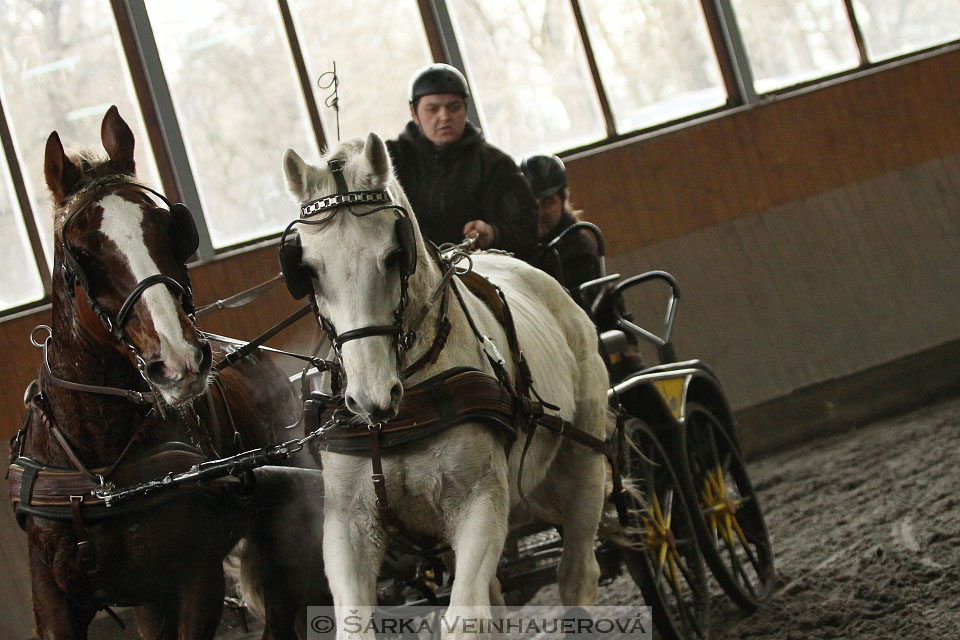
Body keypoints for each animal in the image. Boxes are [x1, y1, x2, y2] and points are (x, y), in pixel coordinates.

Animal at [8, 107, 322, 636]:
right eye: (82, 253)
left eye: (170, 227)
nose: (180, 359)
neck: (104, 476)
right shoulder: (54, 597)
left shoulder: (196, 577)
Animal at [282, 132, 608, 636]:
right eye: (309, 269)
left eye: (393, 255)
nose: (370, 398)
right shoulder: (348, 522)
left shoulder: (481, 502)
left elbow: (465, 617)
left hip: (583, 460)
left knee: (577, 573)